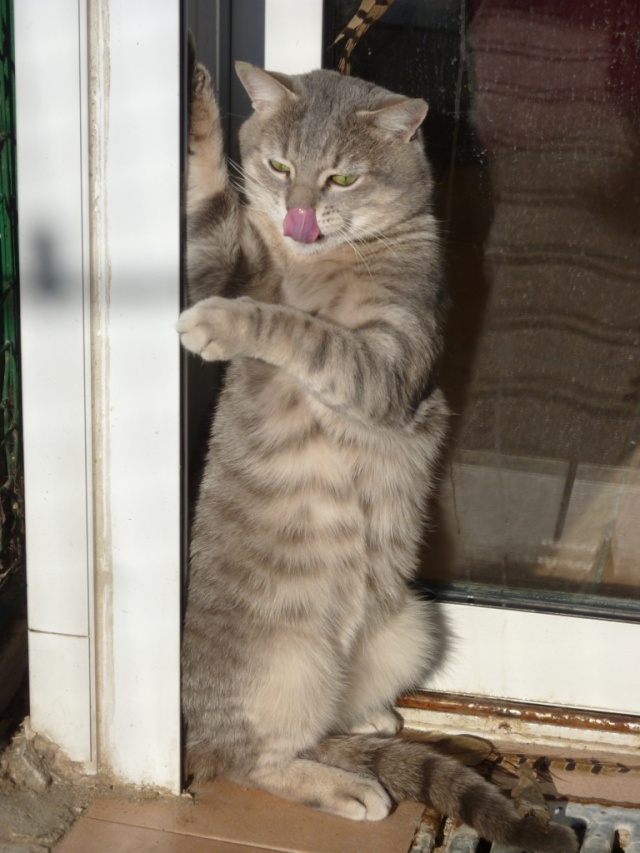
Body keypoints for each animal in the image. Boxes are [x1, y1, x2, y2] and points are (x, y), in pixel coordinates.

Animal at [178, 48, 576, 852]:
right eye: (278, 165)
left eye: (342, 178)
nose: (298, 217)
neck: (316, 264)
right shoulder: (233, 263)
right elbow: (209, 209)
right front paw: (199, 96)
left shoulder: (384, 362)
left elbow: (297, 328)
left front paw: (221, 324)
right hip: (294, 664)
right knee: (259, 755)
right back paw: (351, 769)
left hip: (403, 630)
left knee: (279, 750)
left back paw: (361, 745)